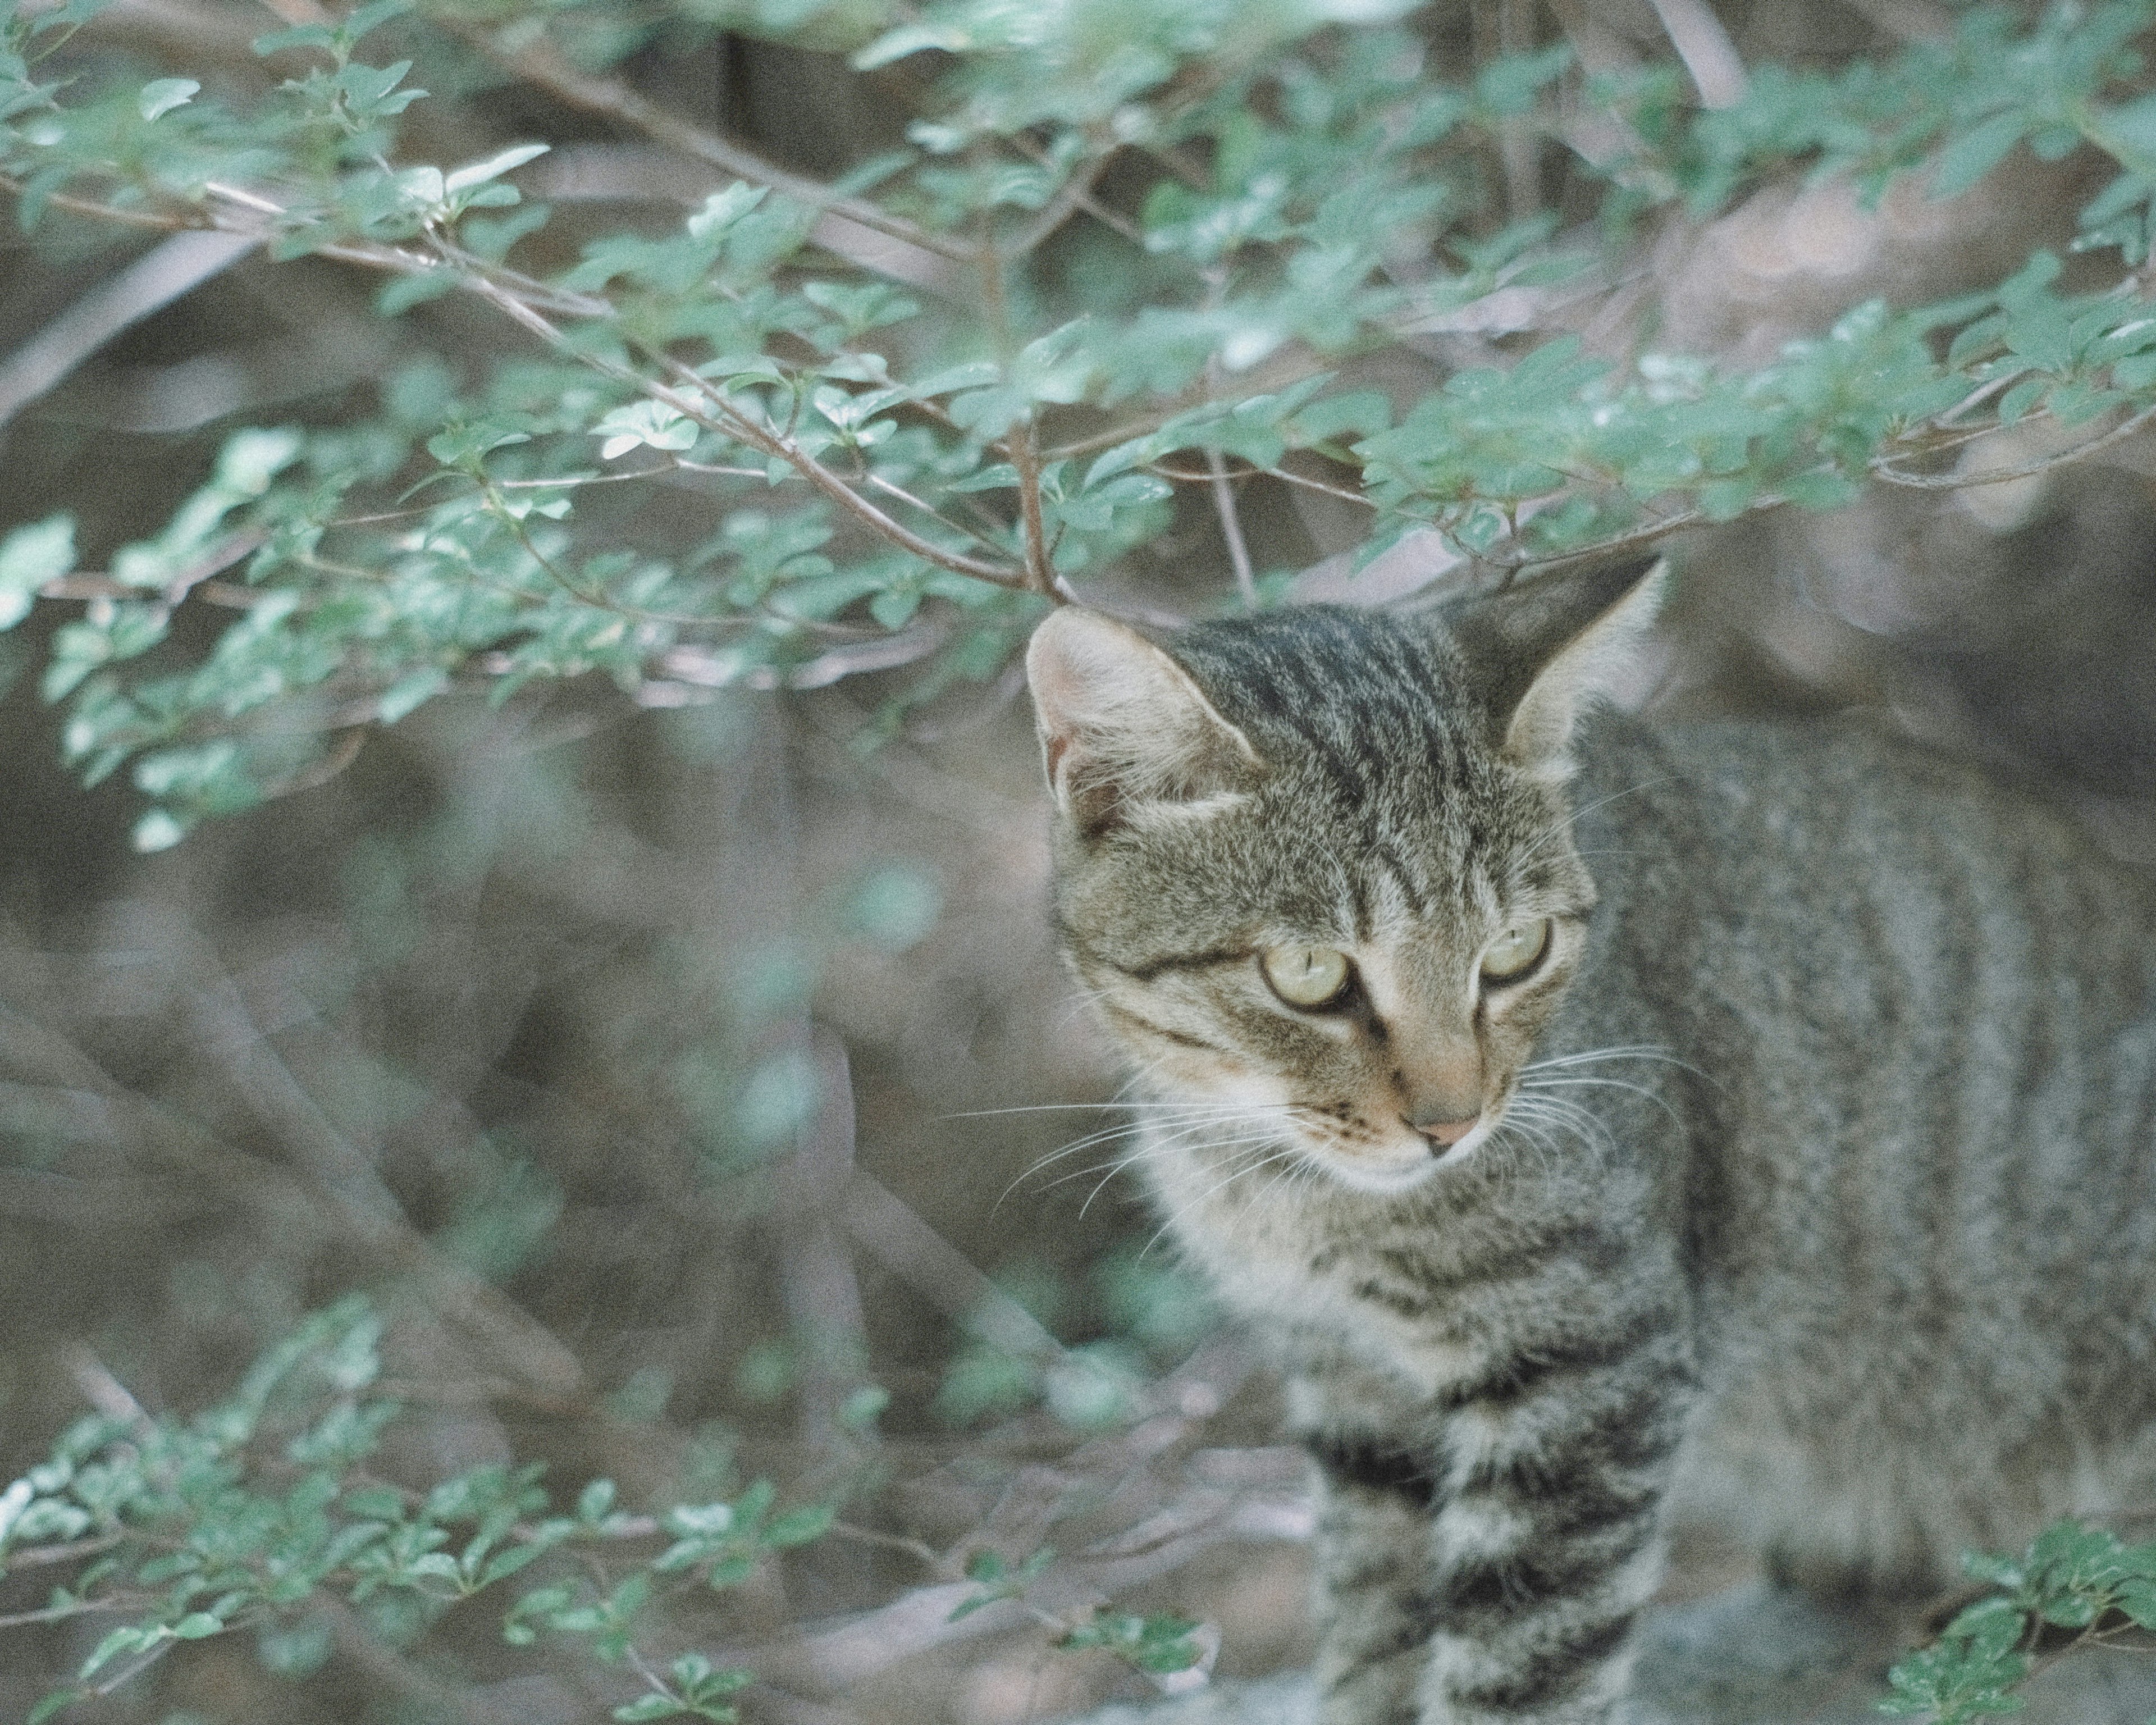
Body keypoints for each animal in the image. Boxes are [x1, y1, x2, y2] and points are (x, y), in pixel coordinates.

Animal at [1017, 556, 2156, 1725]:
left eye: (1515, 950)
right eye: (1308, 972)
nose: (1451, 1122)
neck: (1290, 1194)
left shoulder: (1588, 1366)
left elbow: (1521, 1666)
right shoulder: (1357, 1393)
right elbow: (1376, 1626)